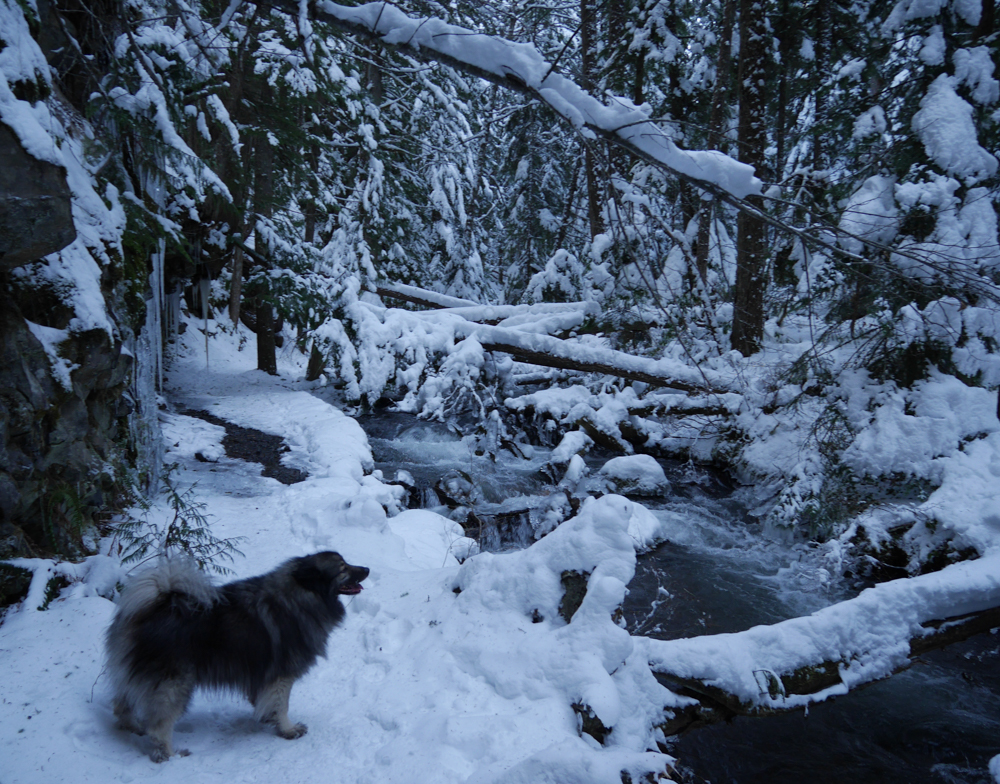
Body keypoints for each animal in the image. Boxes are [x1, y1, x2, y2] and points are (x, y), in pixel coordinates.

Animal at [104, 552, 368, 760]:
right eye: (343, 568)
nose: (367, 569)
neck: (300, 596)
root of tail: (153, 607)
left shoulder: (264, 676)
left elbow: (266, 702)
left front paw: (270, 720)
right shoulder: (282, 676)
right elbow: (282, 705)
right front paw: (288, 730)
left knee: (121, 704)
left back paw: (134, 727)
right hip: (174, 686)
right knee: (159, 727)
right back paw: (171, 755)